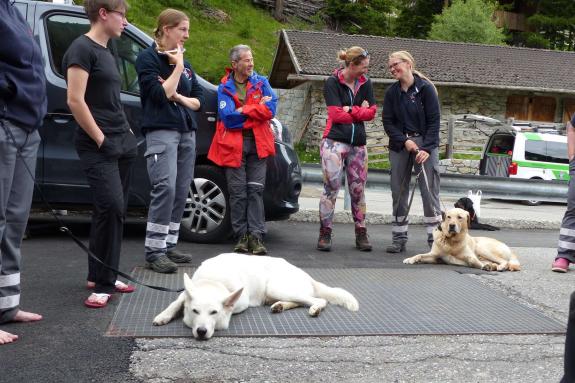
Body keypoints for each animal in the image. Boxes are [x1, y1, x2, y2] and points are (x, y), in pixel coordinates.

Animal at [153, 255, 360, 340]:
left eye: (214, 312)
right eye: (195, 311)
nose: (201, 331)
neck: (213, 281)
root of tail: (308, 276)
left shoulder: (240, 301)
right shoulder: (188, 291)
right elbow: (177, 301)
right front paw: (164, 315)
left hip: (275, 287)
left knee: (318, 300)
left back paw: (315, 308)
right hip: (275, 292)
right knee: (299, 301)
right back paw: (280, 306)